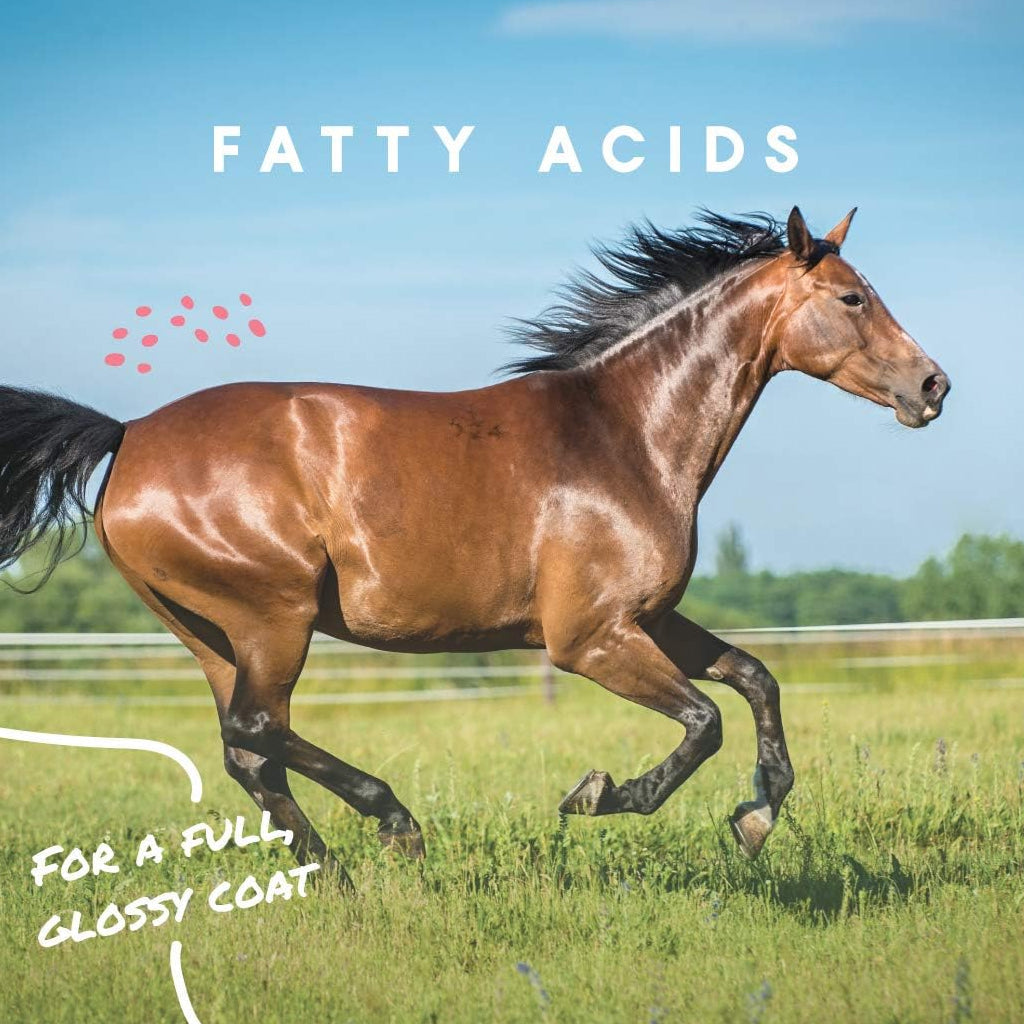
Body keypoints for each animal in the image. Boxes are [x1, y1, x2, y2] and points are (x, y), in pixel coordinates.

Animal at [0, 207, 950, 882]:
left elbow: (755, 680)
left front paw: (755, 818)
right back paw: (394, 826)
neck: (626, 436)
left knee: (248, 753)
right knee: (259, 727)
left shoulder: (646, 620)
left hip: (207, 631)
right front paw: (603, 794)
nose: (934, 385)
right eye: (853, 298)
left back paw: (334, 877)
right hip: (272, 616)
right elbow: (704, 721)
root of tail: (128, 434)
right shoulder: (588, 639)